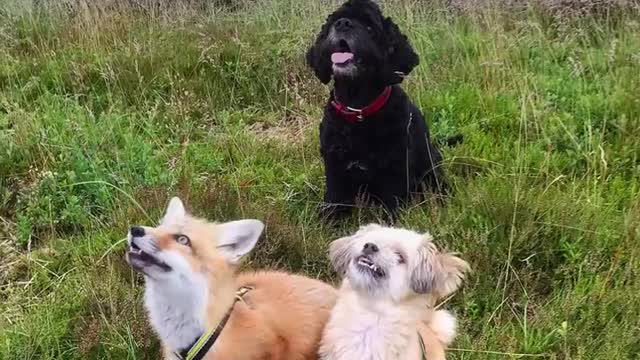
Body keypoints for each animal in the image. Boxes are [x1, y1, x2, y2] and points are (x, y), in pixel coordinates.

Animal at [308, 0, 448, 221]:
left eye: (369, 28)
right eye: (333, 22)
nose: (342, 24)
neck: (358, 110)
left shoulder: (395, 172)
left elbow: (392, 208)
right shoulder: (335, 170)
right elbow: (334, 203)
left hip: (431, 166)